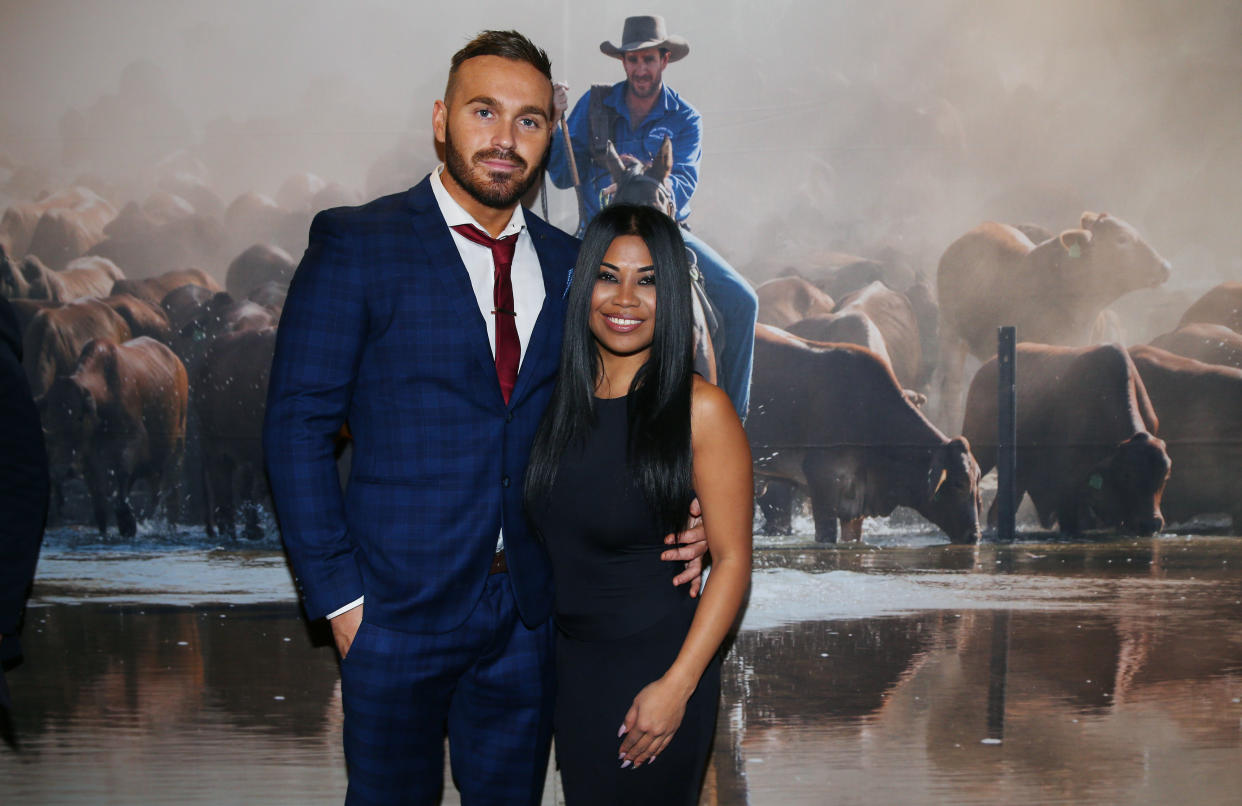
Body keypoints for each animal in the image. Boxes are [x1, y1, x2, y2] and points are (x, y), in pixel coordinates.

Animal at [39, 335, 186, 536]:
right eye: (49, 419)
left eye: (79, 417)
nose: (61, 470)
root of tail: (177, 362)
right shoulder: (89, 461)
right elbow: (100, 504)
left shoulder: (132, 442)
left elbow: (122, 479)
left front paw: (127, 522)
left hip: (177, 449)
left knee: (170, 494)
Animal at [958, 340, 1172, 534]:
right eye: (1127, 474)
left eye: (1165, 475)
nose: (1152, 523)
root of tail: (985, 368)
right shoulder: (1067, 489)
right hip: (981, 449)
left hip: (1017, 476)